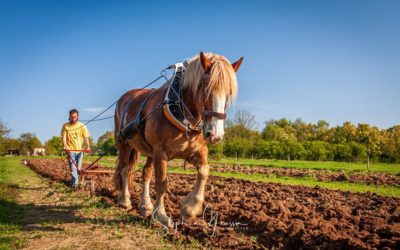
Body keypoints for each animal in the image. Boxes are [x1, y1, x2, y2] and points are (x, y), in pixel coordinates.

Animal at [113, 51, 244, 227]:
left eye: (229, 92)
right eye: (206, 88)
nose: (215, 135)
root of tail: (126, 97)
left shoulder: (197, 151)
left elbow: (204, 171)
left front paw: (190, 208)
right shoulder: (160, 152)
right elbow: (162, 182)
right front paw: (161, 215)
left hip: (149, 151)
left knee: (146, 173)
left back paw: (145, 205)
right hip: (124, 143)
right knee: (125, 169)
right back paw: (125, 200)